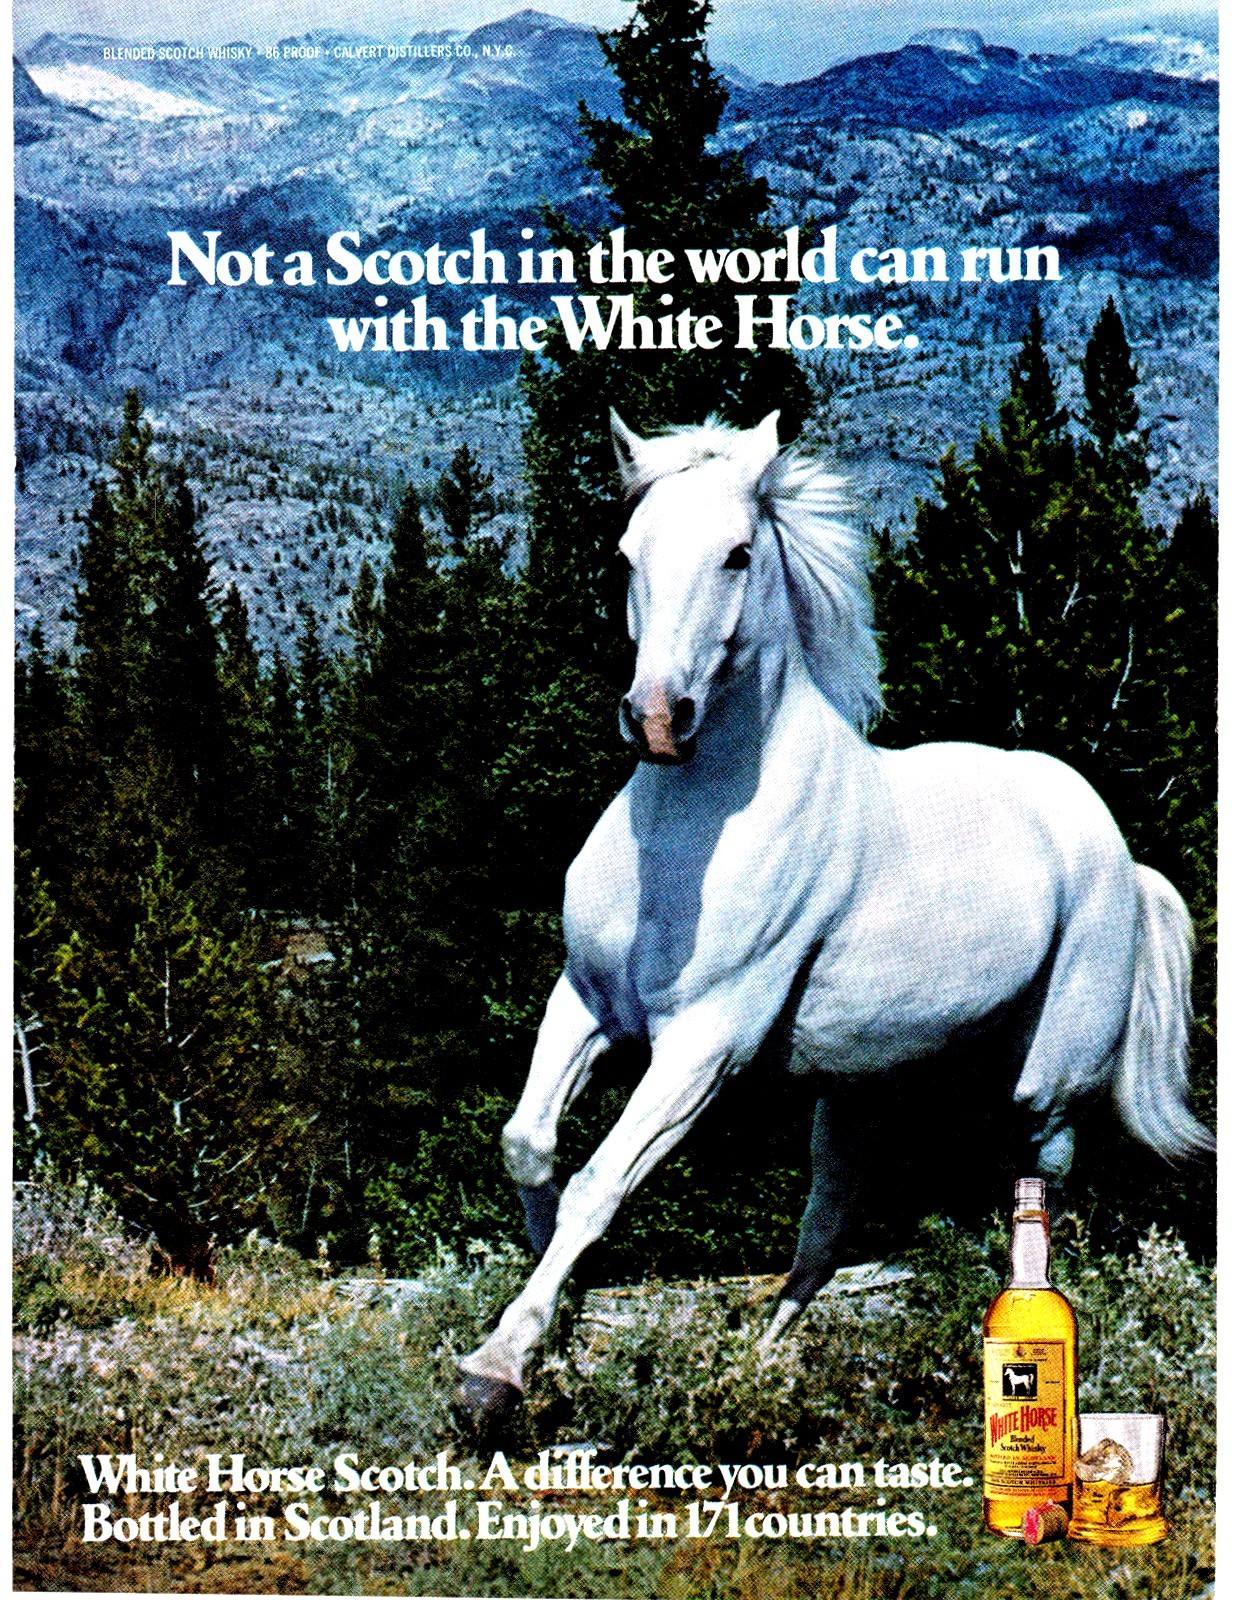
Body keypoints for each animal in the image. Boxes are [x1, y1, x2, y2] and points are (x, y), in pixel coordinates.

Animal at [459, 410, 1212, 1414]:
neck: (688, 837)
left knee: (1036, 1180)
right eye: (626, 553)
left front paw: (496, 1369)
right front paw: (552, 1331)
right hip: (862, 1088)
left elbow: (598, 1182)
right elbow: (528, 1145)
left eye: (737, 553)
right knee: (828, 1223)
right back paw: (760, 1361)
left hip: (1047, 1083)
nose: (657, 718)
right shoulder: (584, 1003)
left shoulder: (704, 1044)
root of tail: (1123, 862)